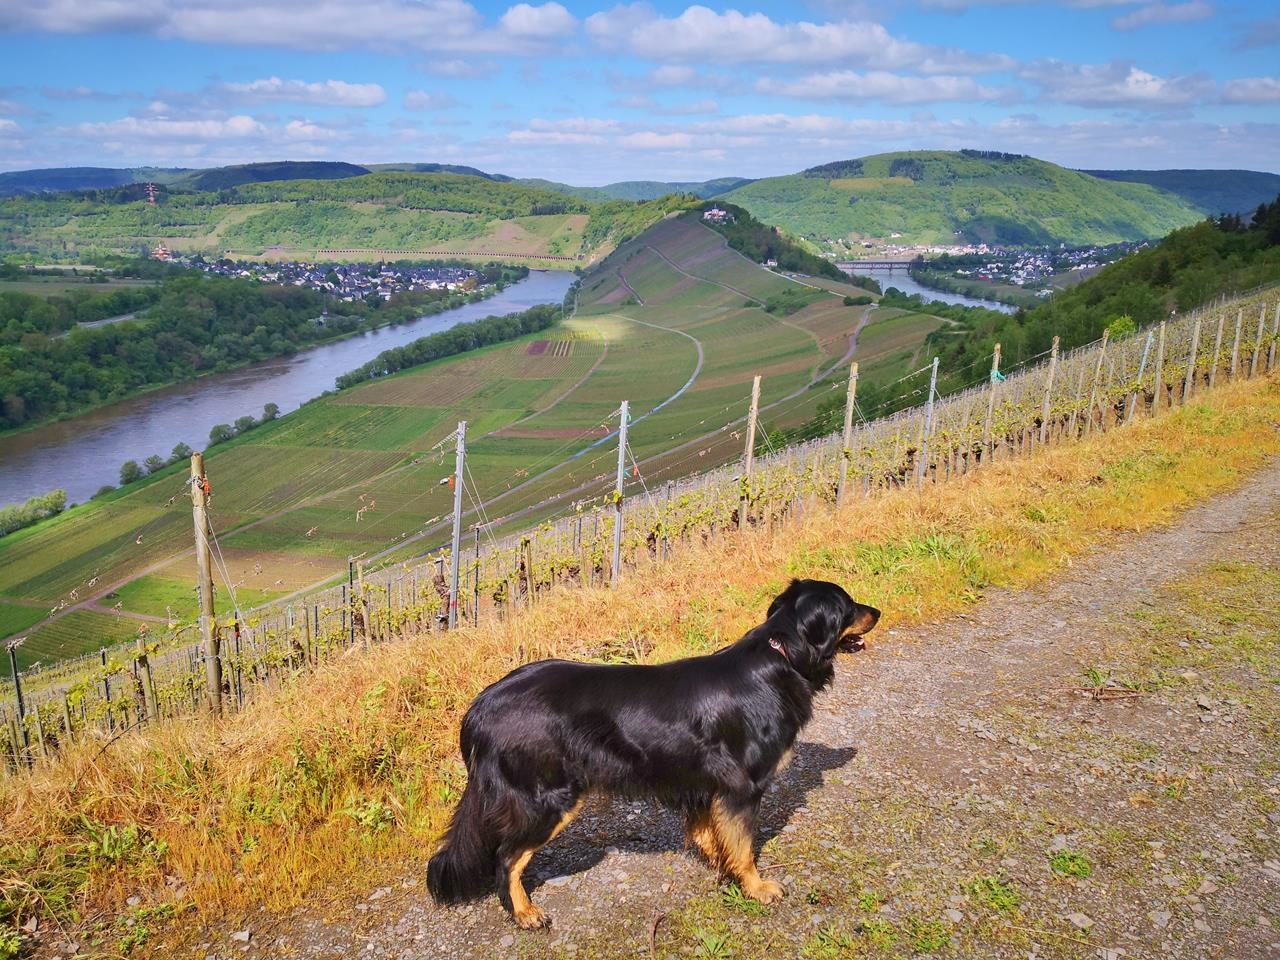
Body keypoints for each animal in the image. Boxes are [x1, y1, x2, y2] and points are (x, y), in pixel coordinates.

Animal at [424, 578, 875, 931]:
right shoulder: (741, 789)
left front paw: (721, 866)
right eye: (848, 606)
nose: (878, 611)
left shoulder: (704, 786)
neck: (781, 657)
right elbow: (744, 846)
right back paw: (524, 913)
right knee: (507, 857)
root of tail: (480, 706)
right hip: (547, 799)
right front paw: (757, 887)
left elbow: (710, 835)